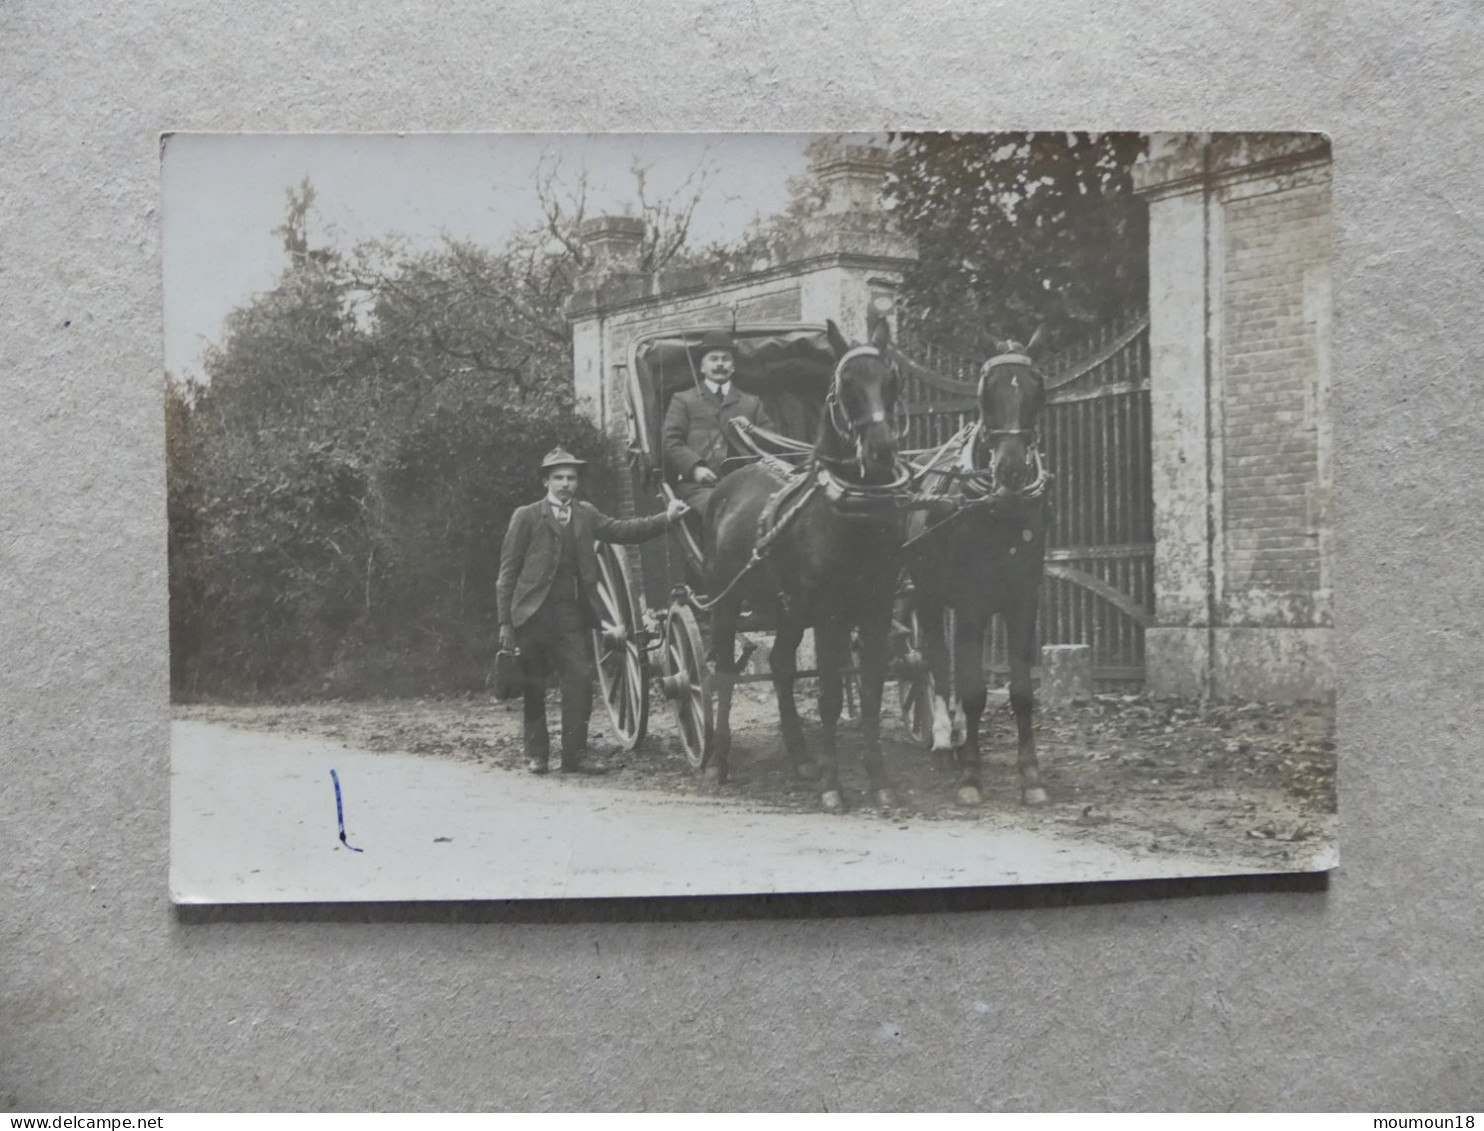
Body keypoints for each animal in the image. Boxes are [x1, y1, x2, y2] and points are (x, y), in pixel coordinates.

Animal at [703, 317, 902, 813]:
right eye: (845, 385)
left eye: (891, 381)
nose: (881, 449)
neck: (850, 513)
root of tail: (730, 476)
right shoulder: (830, 617)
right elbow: (830, 697)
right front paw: (834, 785)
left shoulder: (876, 611)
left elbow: (870, 694)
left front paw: (879, 781)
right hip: (726, 602)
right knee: (723, 674)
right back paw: (718, 759)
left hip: (788, 610)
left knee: (779, 665)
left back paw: (800, 757)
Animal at [902, 330, 1056, 807]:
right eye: (986, 392)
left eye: (1037, 388)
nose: (1011, 468)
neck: (999, 506)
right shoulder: (970, 602)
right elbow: (972, 690)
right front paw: (971, 775)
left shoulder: (1022, 602)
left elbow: (1022, 693)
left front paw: (1032, 775)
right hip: (928, 595)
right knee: (932, 659)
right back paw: (941, 738)